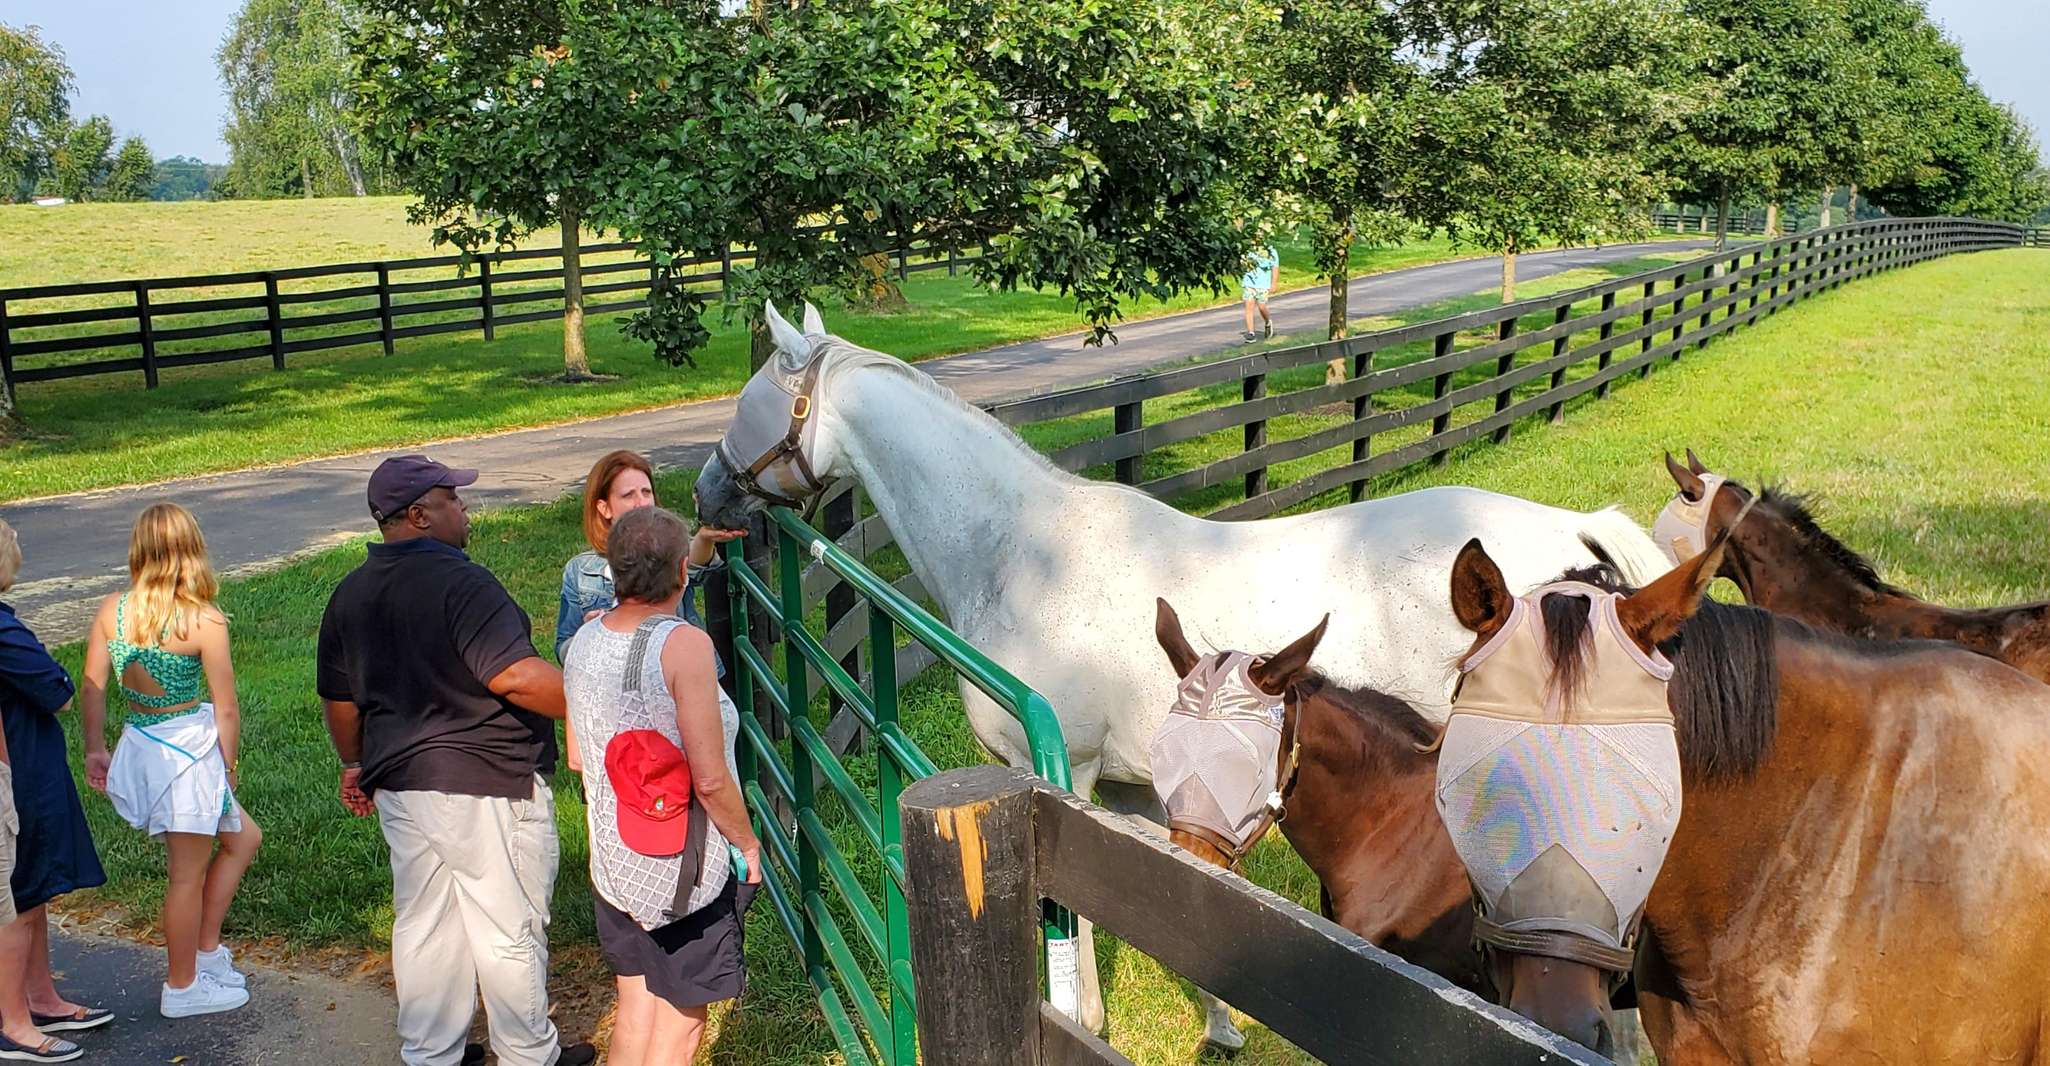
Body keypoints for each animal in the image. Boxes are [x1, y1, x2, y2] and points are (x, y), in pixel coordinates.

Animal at [697, 299, 1672, 1049]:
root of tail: (1577, 538)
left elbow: (1079, 936)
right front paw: (1223, 1024)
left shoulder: (1067, 775)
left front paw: (1090, 1024)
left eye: (747, 404)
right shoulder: (1139, 790)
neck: (1026, 551)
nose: (706, 492)